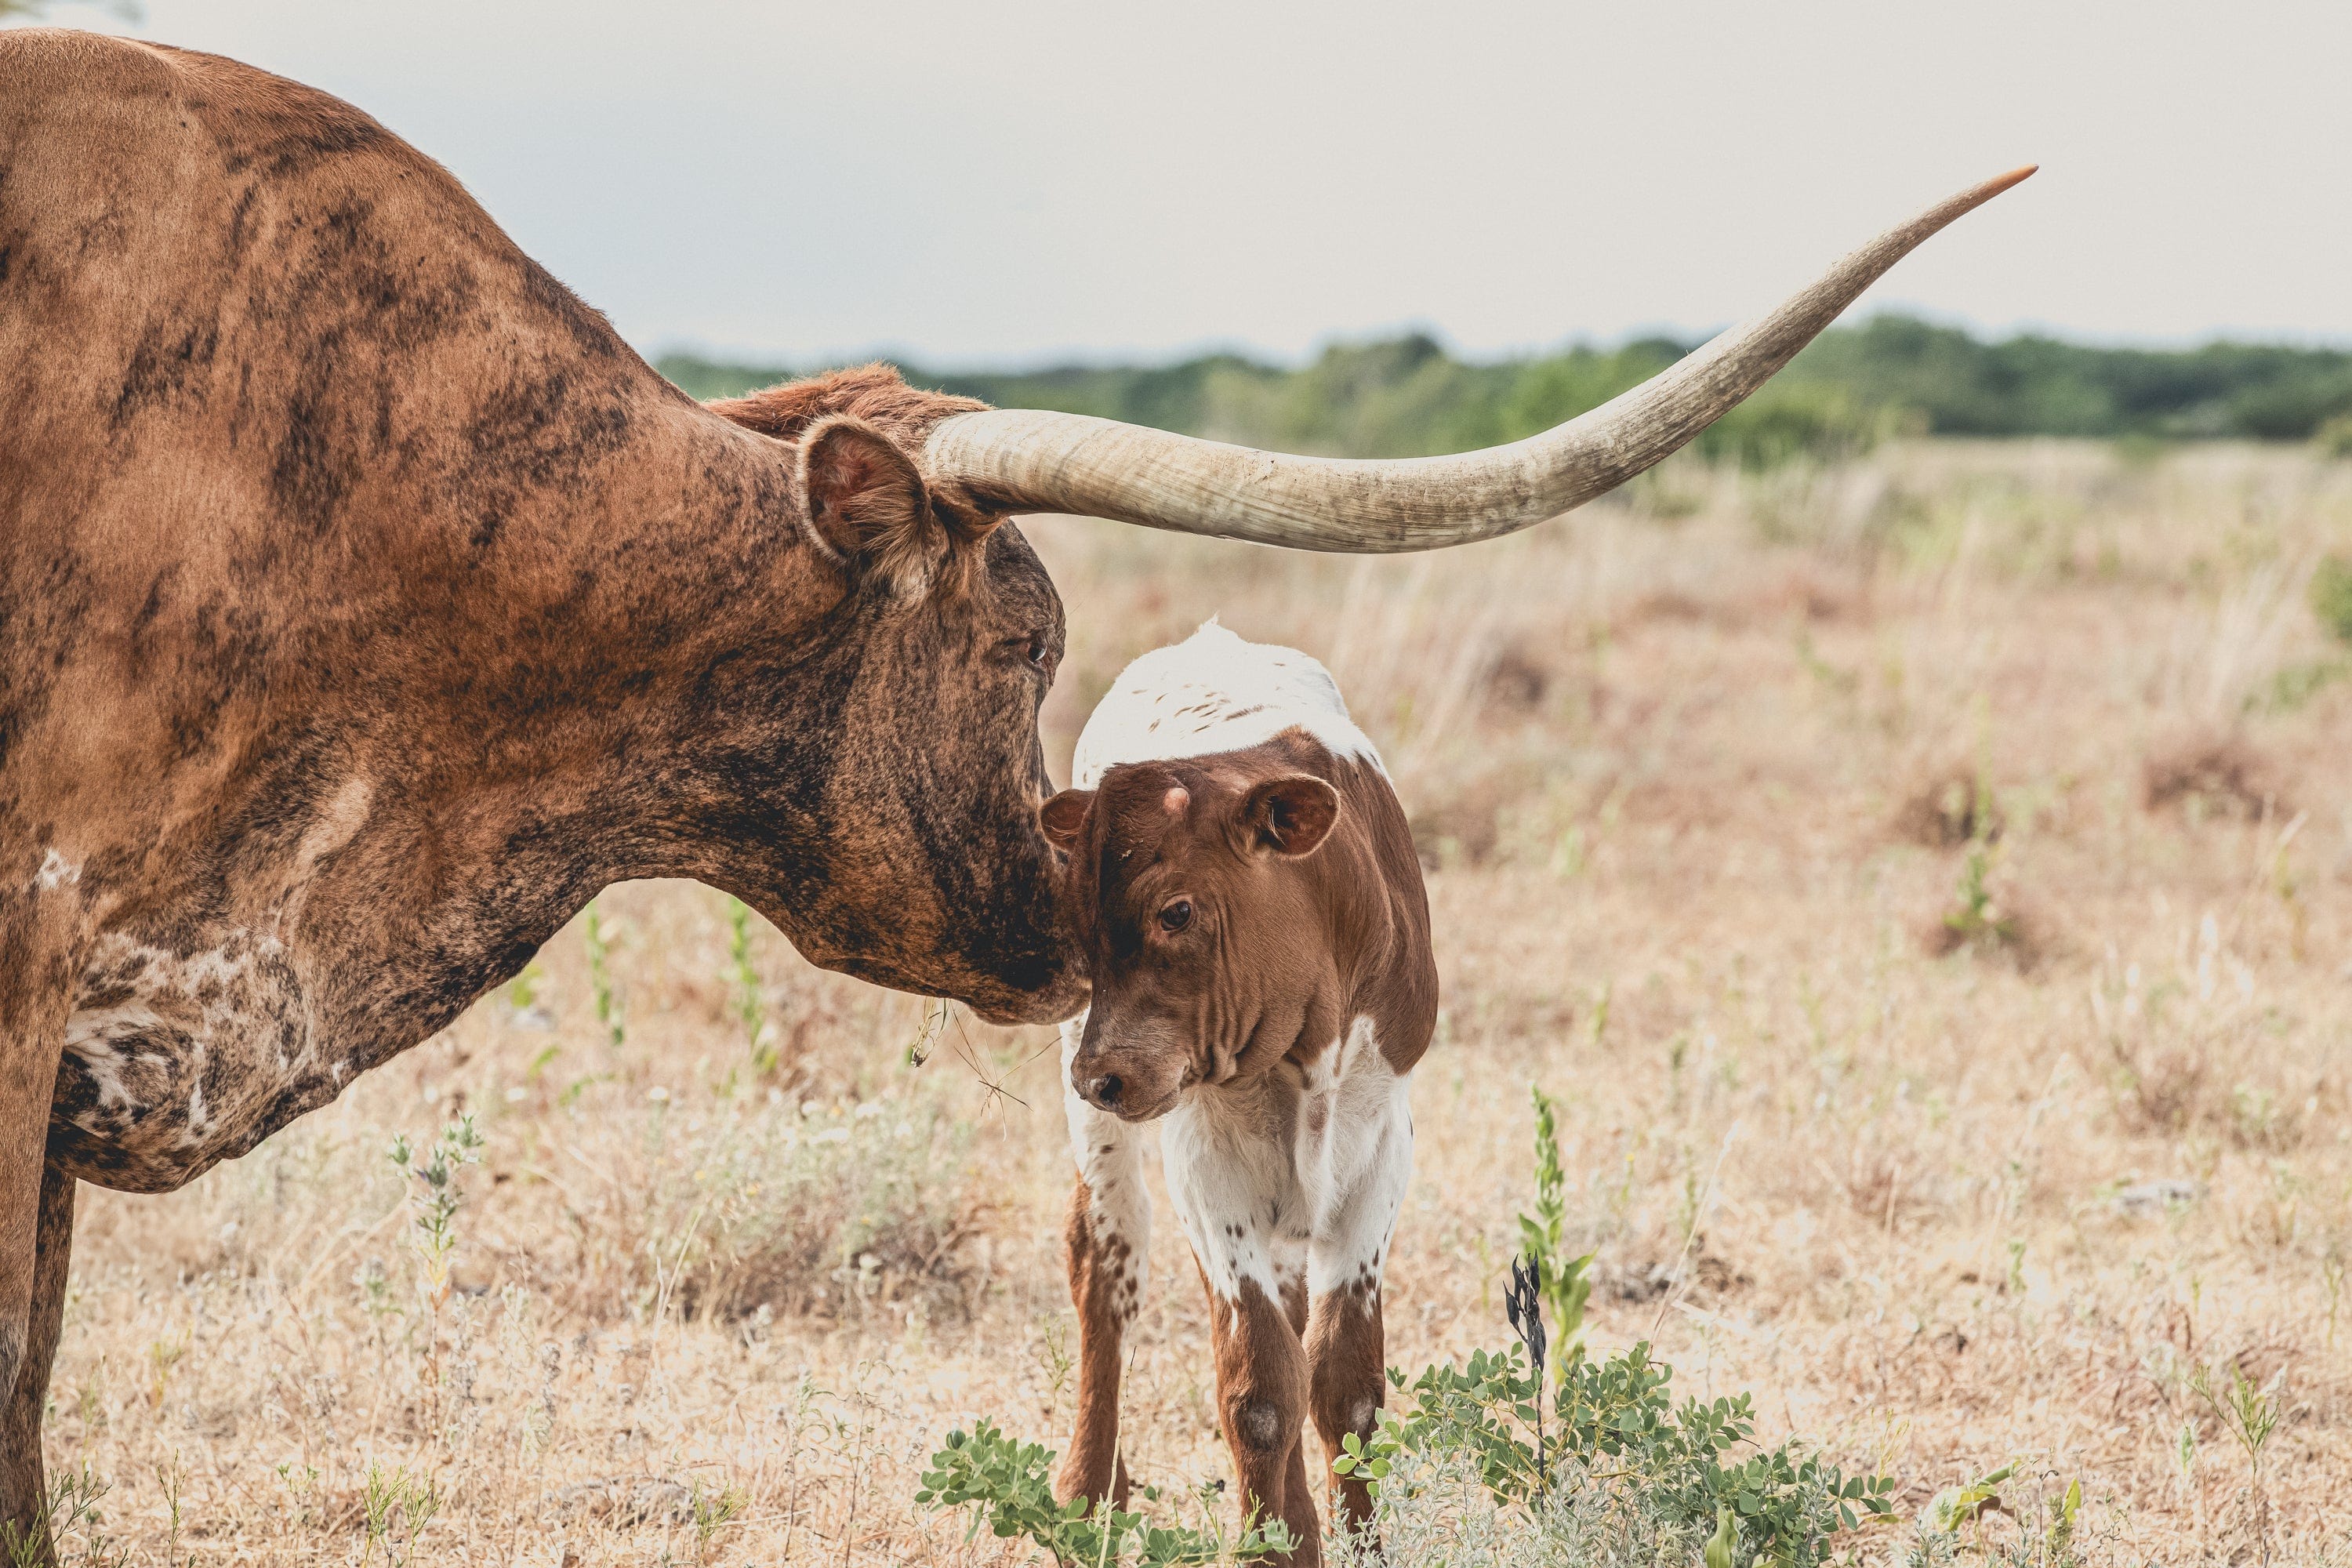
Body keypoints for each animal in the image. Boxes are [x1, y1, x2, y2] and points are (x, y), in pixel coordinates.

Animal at [1044, 620, 1439, 1561]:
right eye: (1076, 923)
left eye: (1177, 911)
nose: (1102, 1074)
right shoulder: (1204, 1157)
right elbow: (1260, 1386)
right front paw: (1276, 1542)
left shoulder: (1381, 1143)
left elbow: (1345, 1381)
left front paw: (1353, 1540)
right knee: (1106, 1256)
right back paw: (1088, 1487)